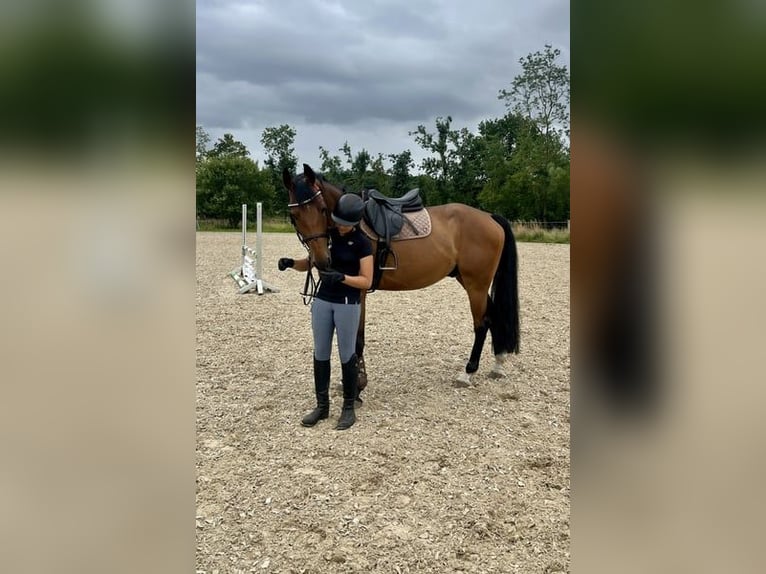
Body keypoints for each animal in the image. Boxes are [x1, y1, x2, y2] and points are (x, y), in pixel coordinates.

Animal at [283, 163, 519, 392]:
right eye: (295, 216)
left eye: (322, 209)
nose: (323, 260)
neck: (351, 226)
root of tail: (489, 217)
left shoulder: (359, 291)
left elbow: (357, 338)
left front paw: (357, 382)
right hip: (469, 281)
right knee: (494, 316)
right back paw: (498, 364)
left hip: (476, 284)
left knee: (482, 323)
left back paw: (468, 372)